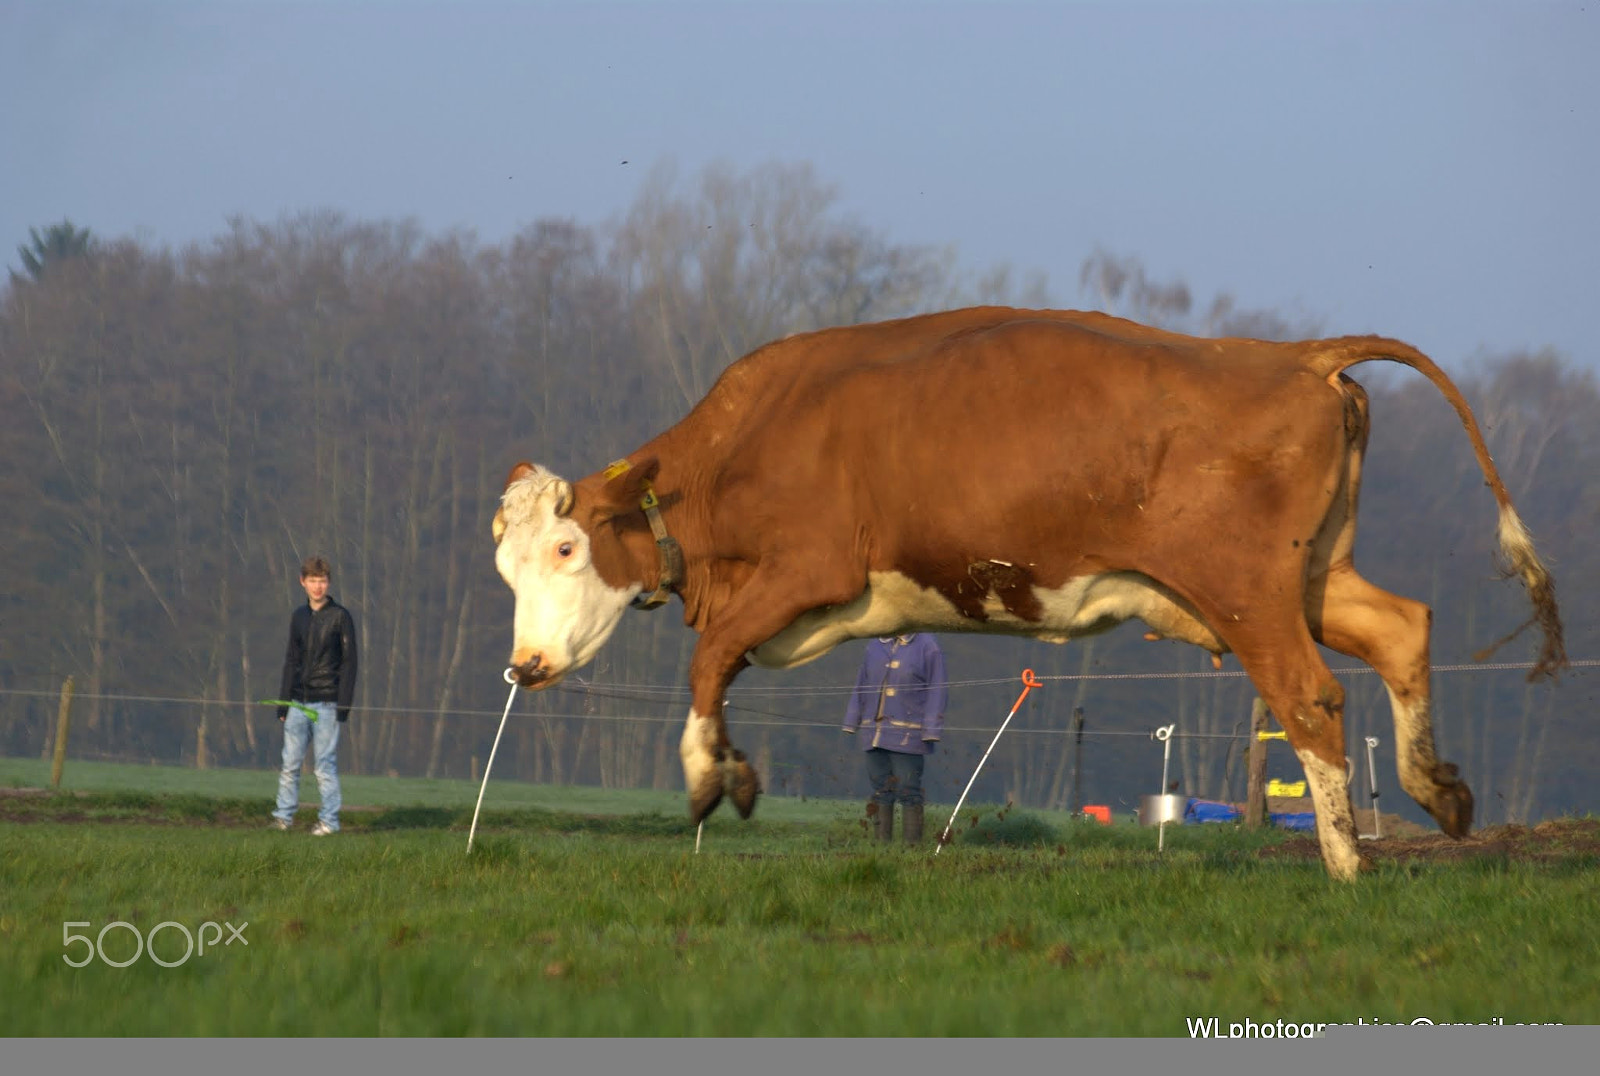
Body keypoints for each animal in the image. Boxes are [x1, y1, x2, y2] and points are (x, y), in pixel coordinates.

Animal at [486, 307, 1561, 877]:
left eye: (571, 547)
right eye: (509, 567)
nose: (525, 664)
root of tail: (1291, 353)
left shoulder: (811, 569)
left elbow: (708, 660)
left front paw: (713, 777)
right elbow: (718, 661)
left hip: (1248, 592)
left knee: (1312, 696)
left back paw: (1345, 862)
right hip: (1309, 579)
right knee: (1402, 628)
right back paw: (1438, 790)